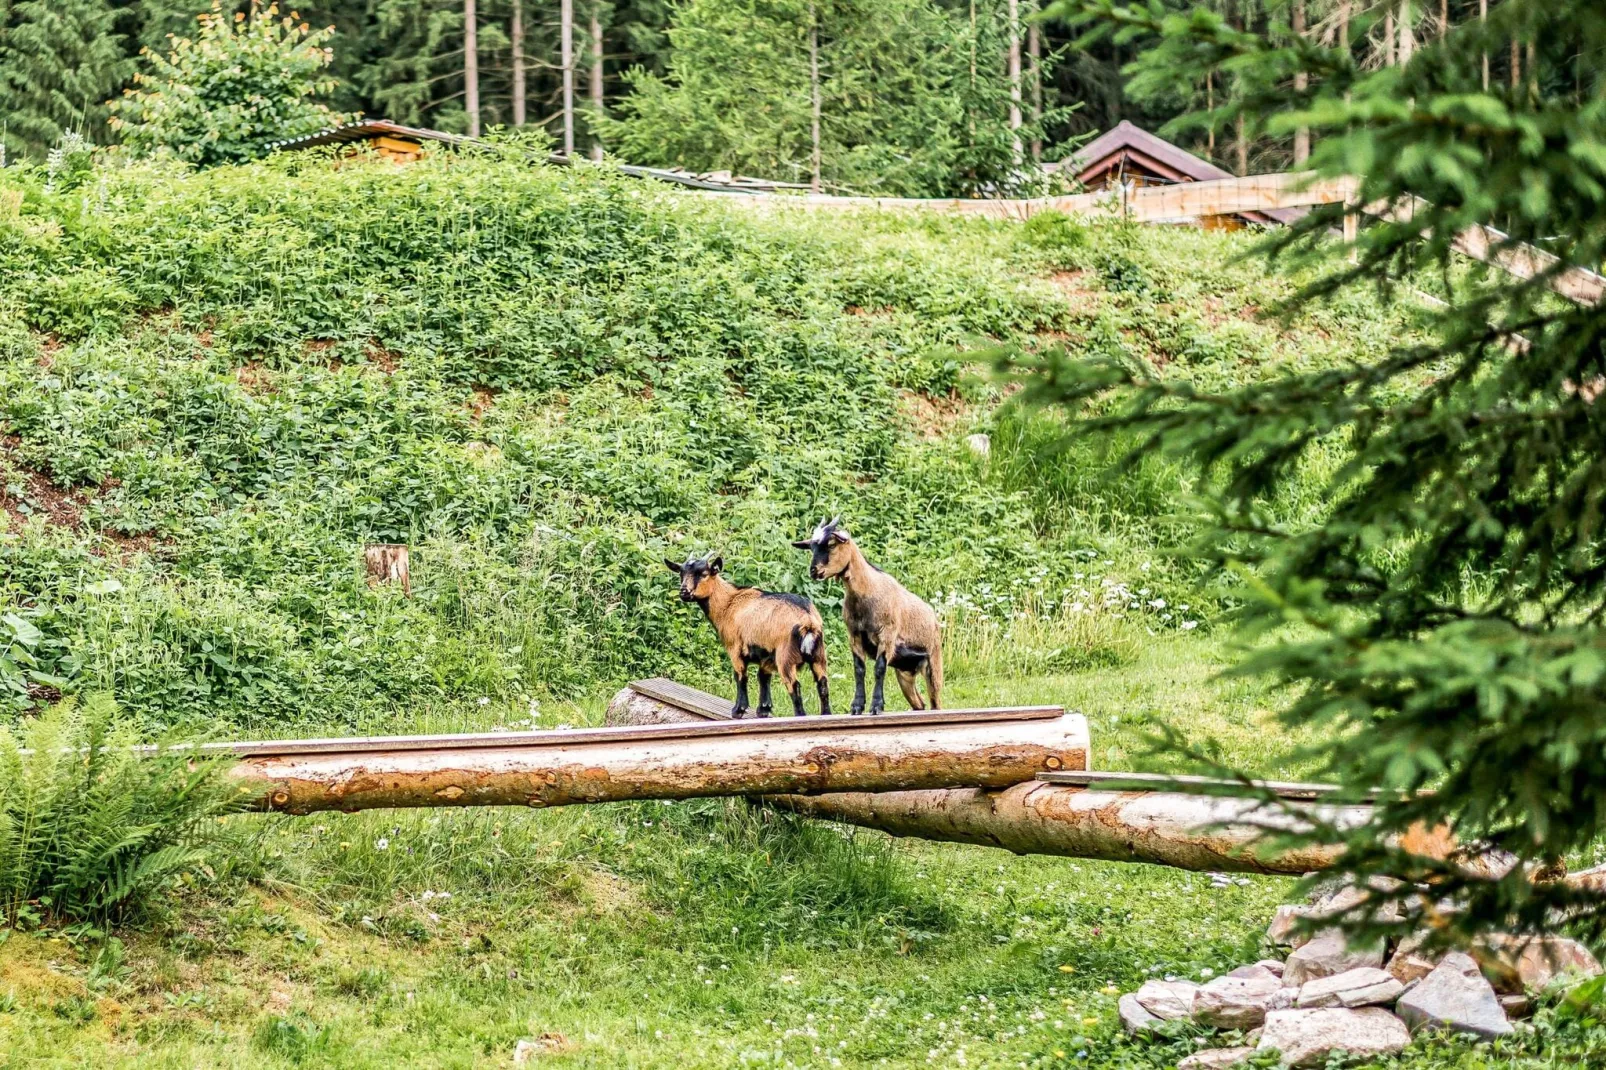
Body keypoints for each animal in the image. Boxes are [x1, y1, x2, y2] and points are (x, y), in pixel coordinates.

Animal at [661, 552, 828, 713]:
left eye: (703, 573)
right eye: (681, 573)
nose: (684, 592)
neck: (729, 603)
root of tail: (808, 621)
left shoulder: (734, 648)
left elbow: (740, 676)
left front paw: (738, 710)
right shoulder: (766, 655)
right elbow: (763, 677)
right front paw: (763, 709)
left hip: (785, 657)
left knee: (795, 687)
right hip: (818, 655)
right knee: (823, 684)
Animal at [790, 520, 937, 713]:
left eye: (831, 544)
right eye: (812, 548)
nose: (814, 571)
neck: (869, 589)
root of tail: (933, 616)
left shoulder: (887, 634)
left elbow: (879, 668)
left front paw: (876, 705)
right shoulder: (855, 634)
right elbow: (859, 669)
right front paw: (857, 705)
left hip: (933, 664)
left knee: (935, 702)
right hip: (904, 672)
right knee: (920, 704)